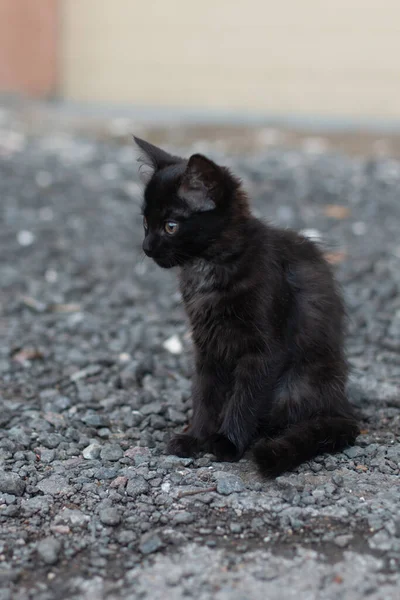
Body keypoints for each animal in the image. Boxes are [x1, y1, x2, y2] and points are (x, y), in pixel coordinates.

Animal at [132, 137, 360, 478]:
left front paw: (227, 442)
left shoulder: (264, 349)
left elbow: (246, 397)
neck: (207, 267)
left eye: (171, 226)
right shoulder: (207, 344)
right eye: (146, 223)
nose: (146, 247)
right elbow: (205, 394)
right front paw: (195, 437)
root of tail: (340, 403)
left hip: (296, 383)